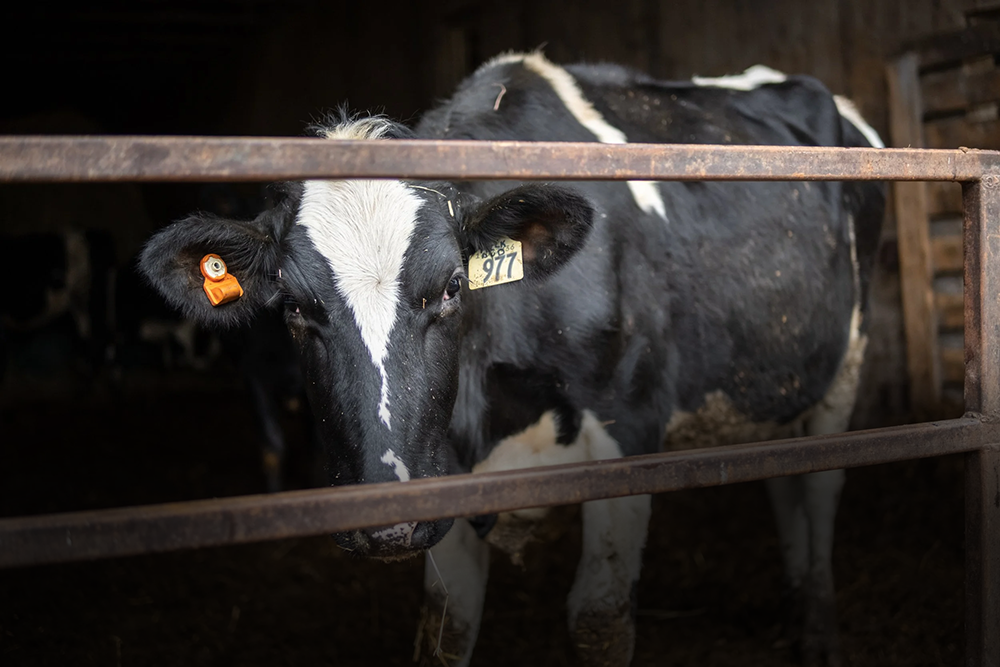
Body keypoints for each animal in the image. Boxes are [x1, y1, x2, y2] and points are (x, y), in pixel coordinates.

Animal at [138, 53, 885, 667]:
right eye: (293, 308)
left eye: (451, 287)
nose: (385, 518)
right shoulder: (440, 471)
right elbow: (445, 632)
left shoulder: (629, 432)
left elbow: (599, 621)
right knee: (784, 476)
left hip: (849, 362)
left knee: (822, 485)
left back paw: (818, 631)